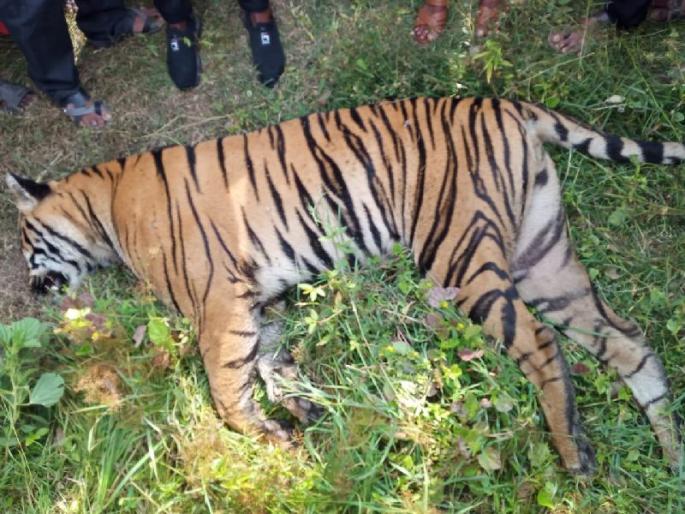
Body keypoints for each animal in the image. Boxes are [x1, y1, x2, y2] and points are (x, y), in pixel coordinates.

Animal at [5, 97, 683, 475]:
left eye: (25, 242)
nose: (33, 290)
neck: (104, 210)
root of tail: (506, 104)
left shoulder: (219, 301)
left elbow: (226, 387)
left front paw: (271, 437)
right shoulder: (262, 299)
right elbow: (271, 364)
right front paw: (304, 414)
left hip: (462, 254)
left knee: (541, 343)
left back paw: (574, 457)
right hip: (541, 258)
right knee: (628, 341)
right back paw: (671, 457)